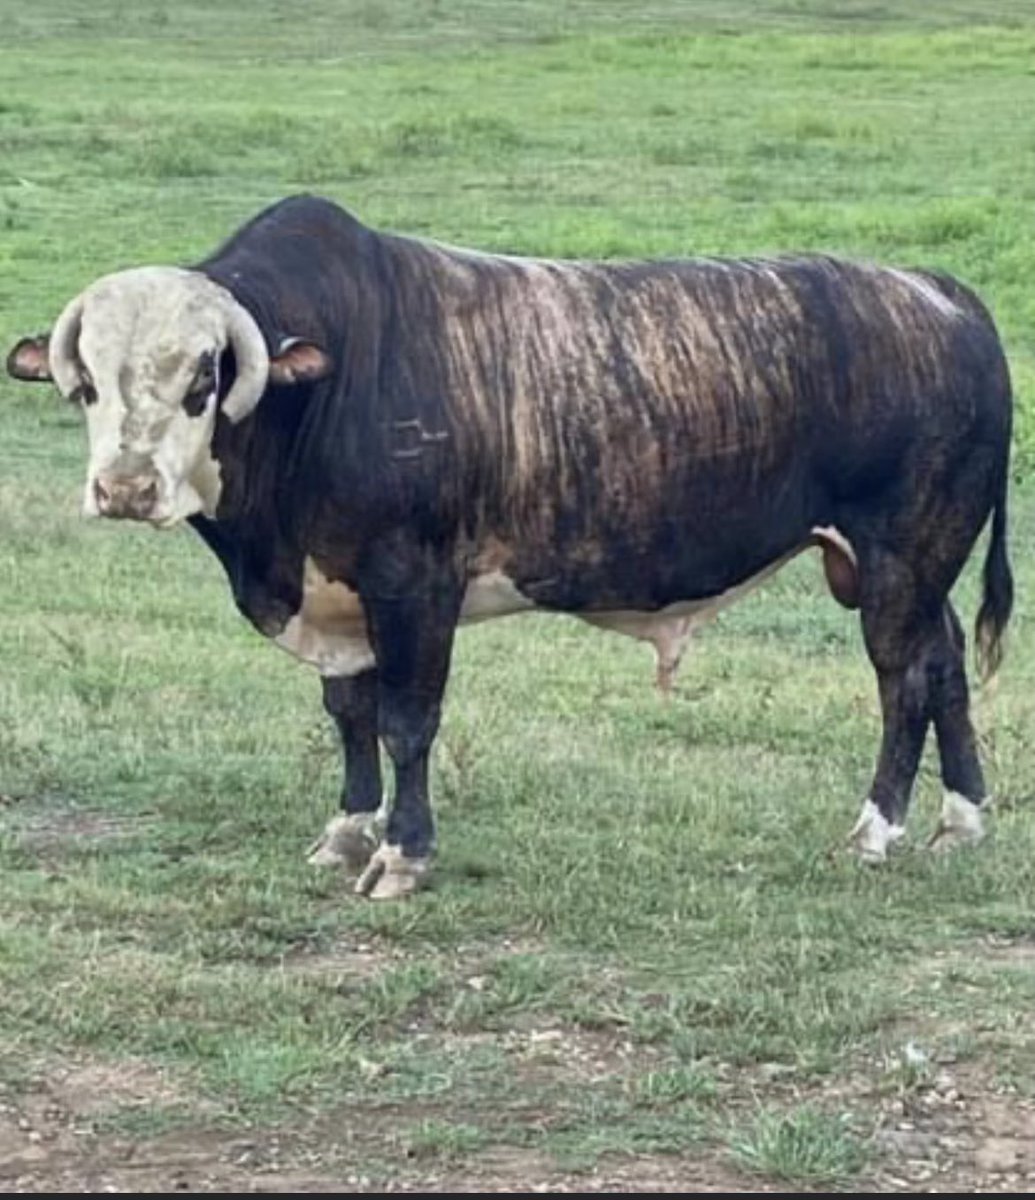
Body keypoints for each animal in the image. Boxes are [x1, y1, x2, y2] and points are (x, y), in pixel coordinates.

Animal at [6, 194, 1013, 898]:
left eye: (204, 377)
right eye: (86, 379)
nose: (126, 489)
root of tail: (934, 290)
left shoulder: (413, 584)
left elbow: (407, 723)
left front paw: (403, 855)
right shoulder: (340, 599)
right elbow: (350, 716)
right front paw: (348, 830)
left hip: (899, 557)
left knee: (903, 681)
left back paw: (875, 830)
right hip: (917, 569)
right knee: (945, 665)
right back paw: (962, 819)